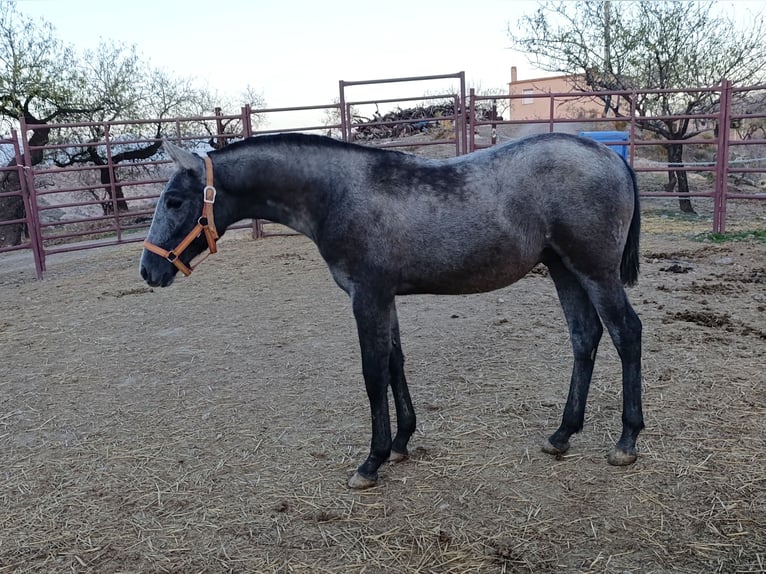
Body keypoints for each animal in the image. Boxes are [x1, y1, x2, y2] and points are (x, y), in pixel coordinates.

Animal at [141, 135, 644, 490]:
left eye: (175, 201)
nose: (148, 270)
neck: (337, 194)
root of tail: (612, 156)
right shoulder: (386, 298)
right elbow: (395, 363)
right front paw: (402, 443)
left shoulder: (367, 296)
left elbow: (372, 372)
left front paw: (371, 461)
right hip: (563, 269)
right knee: (584, 336)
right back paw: (562, 435)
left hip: (595, 271)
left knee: (626, 333)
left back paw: (626, 441)